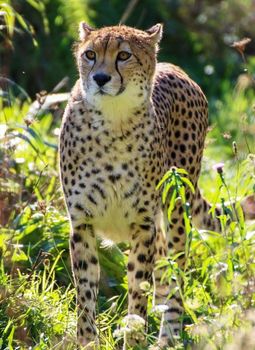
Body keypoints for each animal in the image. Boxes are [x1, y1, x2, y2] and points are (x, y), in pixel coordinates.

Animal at [58, 23, 231, 348]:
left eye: (124, 55)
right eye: (90, 54)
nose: (100, 78)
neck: (112, 120)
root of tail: (175, 67)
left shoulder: (142, 225)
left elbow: (137, 288)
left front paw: (134, 337)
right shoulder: (82, 223)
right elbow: (85, 292)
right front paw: (87, 340)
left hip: (177, 209)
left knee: (176, 274)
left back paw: (168, 335)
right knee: (163, 270)